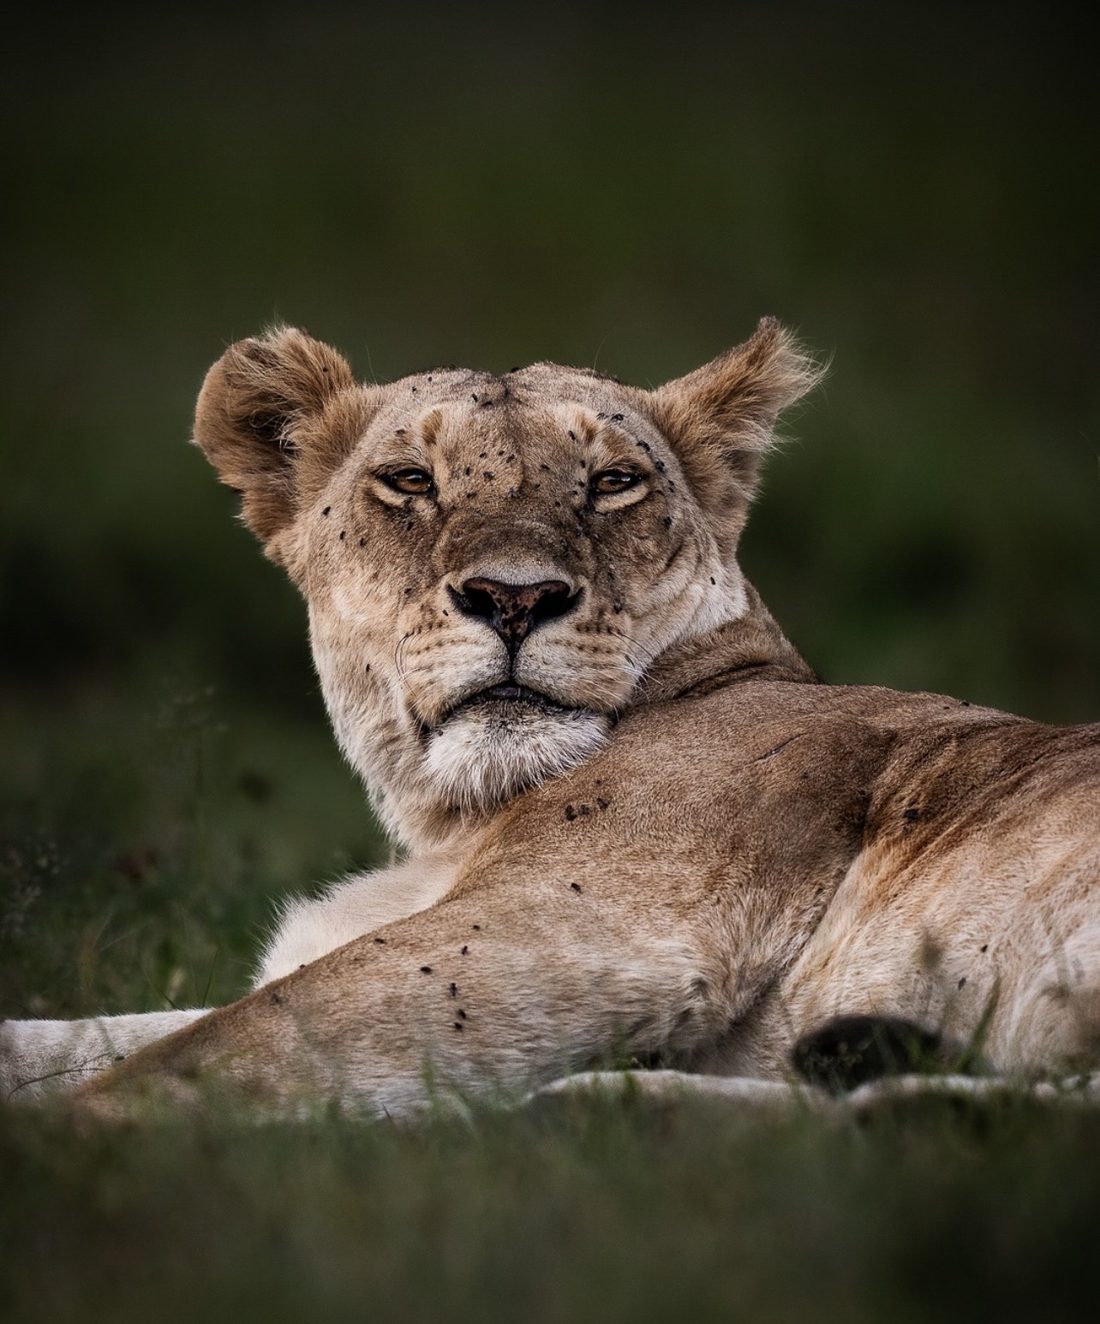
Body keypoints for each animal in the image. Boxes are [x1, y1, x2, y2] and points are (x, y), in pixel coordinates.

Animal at [3, 319, 1098, 1117]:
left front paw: (61, 1153)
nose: (515, 596)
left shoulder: (581, 928)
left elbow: (214, 1048)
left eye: (613, 482)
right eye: (411, 480)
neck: (452, 819)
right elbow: (102, 1032)